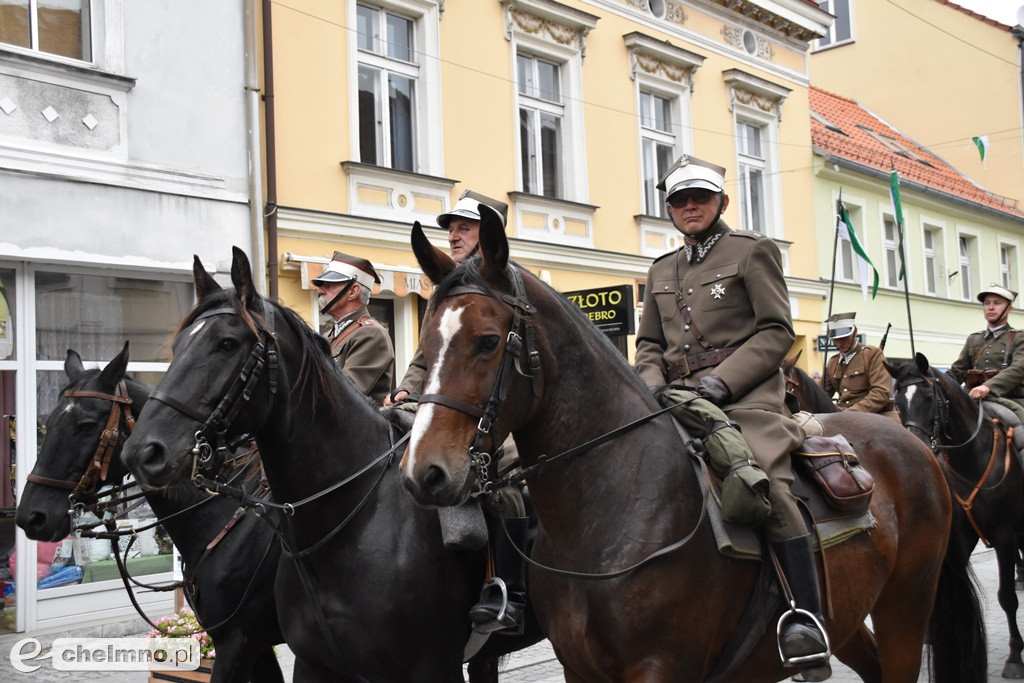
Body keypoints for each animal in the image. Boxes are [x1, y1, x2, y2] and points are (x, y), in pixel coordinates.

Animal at [16, 348, 286, 683]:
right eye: (49, 422)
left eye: (87, 424)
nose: (31, 516)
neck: (224, 513)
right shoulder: (255, 645)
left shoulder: (237, 641)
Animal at [397, 209, 983, 683]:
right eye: (423, 344)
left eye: (488, 342)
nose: (423, 473)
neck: (609, 507)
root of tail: (914, 446)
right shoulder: (579, 669)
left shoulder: (659, 668)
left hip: (906, 606)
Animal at [888, 352, 1024, 679]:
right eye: (897, 402)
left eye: (928, 397)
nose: (913, 447)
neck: (973, 457)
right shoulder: (960, 537)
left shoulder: (1005, 536)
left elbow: (1007, 598)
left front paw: (1015, 655)